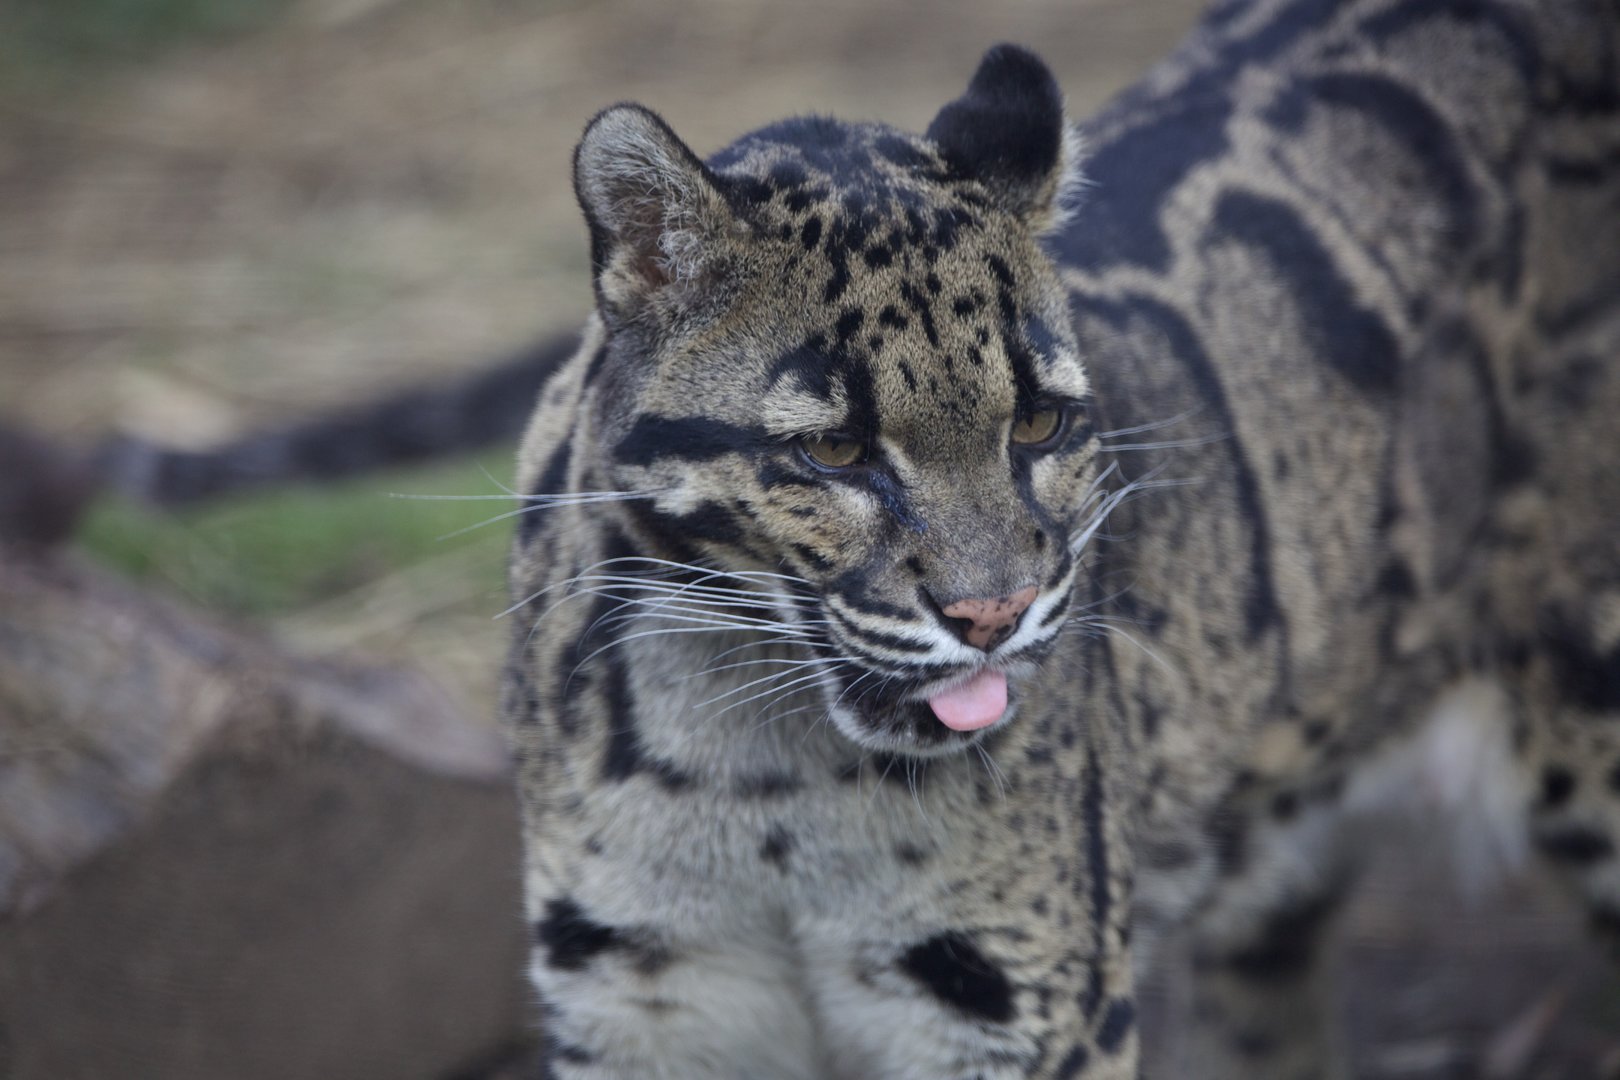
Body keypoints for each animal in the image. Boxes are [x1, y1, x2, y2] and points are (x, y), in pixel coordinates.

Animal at [500, 1, 1620, 1076]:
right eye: (834, 449)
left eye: (1038, 423)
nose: (993, 616)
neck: (761, 774)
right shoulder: (636, 998)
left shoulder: (1021, 1010)